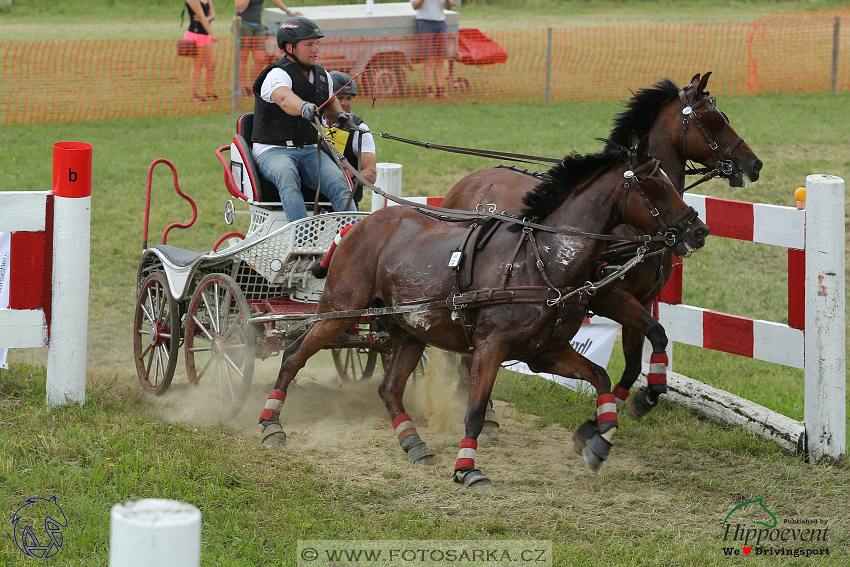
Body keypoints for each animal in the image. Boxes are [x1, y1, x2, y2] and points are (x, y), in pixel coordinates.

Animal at [258, 139, 708, 488]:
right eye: (657, 187)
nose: (698, 230)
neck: (543, 260)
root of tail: (357, 226)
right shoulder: (491, 347)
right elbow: (474, 411)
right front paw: (467, 469)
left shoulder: (545, 353)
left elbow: (601, 377)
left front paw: (599, 437)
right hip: (339, 311)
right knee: (293, 355)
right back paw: (270, 424)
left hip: (409, 331)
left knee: (388, 388)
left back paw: (412, 442)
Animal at [440, 71, 760, 448]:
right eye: (714, 119)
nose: (754, 164)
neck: (626, 224)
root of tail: (466, 183)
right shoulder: (610, 296)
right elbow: (656, 334)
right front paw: (625, 408)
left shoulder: (643, 300)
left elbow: (640, 358)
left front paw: (618, 409)